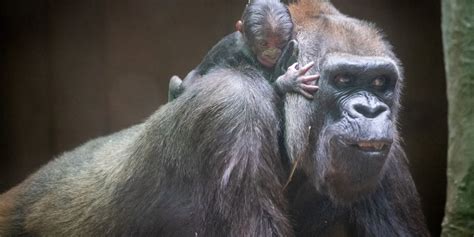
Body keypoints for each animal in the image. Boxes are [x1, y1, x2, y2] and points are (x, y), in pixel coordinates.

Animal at [168, 0, 320, 101]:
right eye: (263, 43)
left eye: (280, 43)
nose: (272, 53)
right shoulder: (225, 44)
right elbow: (197, 72)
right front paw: (288, 81)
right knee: (175, 80)